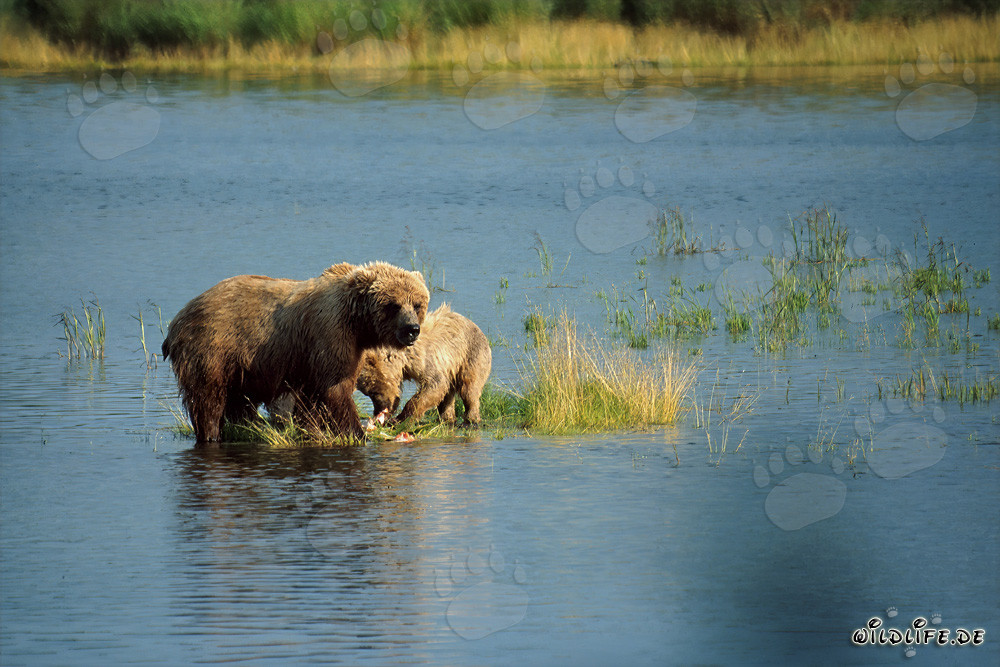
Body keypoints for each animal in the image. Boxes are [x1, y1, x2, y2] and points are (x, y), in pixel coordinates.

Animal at [161, 261, 429, 444]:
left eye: (417, 304)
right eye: (393, 305)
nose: (411, 330)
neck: (358, 323)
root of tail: (177, 320)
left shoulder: (328, 353)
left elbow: (310, 399)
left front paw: (310, 428)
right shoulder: (330, 334)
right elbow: (335, 388)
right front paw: (356, 431)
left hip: (242, 366)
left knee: (239, 400)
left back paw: (249, 427)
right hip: (214, 347)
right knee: (209, 398)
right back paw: (212, 433)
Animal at [356, 304, 491, 426]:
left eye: (373, 392)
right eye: (367, 393)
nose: (378, 411)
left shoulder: (426, 359)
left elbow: (435, 384)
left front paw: (400, 419)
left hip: (472, 354)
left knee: (469, 389)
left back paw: (471, 420)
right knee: (448, 394)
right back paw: (447, 418)